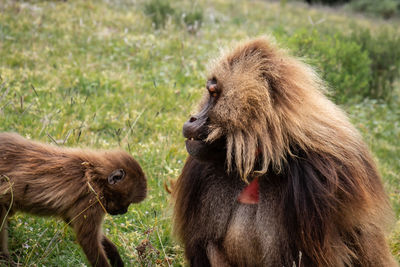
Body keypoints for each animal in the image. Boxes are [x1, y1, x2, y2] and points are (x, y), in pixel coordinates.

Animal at [0, 133, 147, 267]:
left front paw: (114, 254)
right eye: (127, 202)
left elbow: (71, 221)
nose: (124, 211)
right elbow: (87, 239)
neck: (95, 176)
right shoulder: (92, 198)